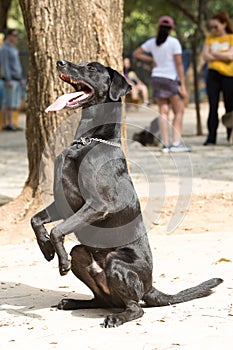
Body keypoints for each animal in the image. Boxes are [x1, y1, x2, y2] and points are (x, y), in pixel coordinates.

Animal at [31, 60, 222, 328]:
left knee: (135, 308)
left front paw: (61, 261)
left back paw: (116, 317)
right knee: (102, 298)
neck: (90, 140)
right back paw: (73, 302)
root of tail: (151, 287)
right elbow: (36, 220)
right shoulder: (65, 202)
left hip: (116, 262)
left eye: (91, 68)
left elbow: (58, 230)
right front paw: (46, 249)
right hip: (82, 254)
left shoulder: (97, 205)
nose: (60, 62)